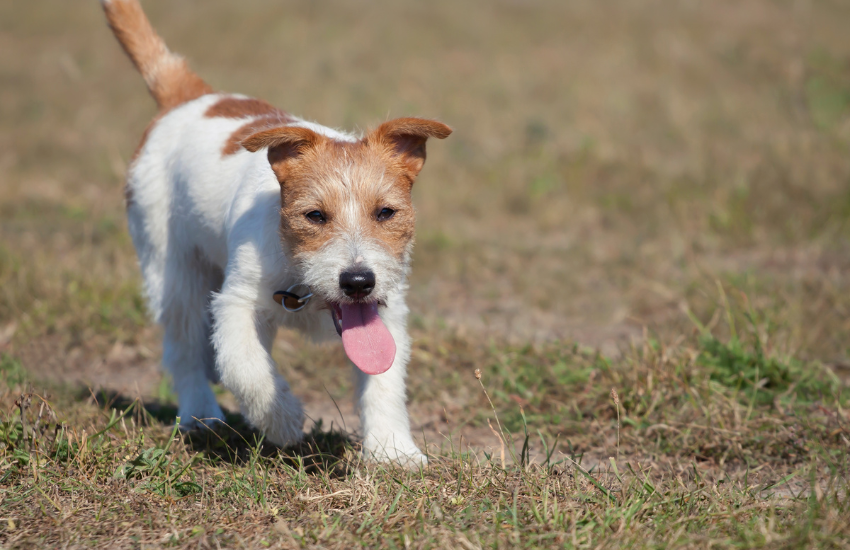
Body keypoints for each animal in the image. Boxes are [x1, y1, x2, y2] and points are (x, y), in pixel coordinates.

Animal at [100, 0, 450, 466]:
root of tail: (189, 96)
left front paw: (392, 450)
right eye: (315, 216)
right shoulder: (237, 305)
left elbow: (384, 379)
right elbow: (248, 369)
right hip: (173, 271)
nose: (358, 281)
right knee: (183, 347)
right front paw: (283, 421)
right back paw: (200, 413)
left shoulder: (386, 311)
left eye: (386, 212)